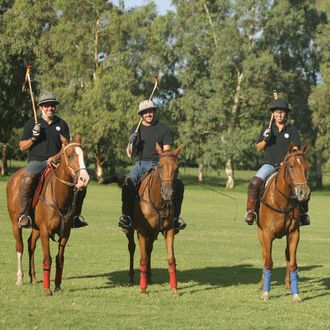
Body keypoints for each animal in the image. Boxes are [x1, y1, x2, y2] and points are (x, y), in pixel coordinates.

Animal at [6, 141, 89, 296]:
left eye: (84, 155)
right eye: (69, 155)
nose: (84, 179)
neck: (58, 196)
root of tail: (14, 176)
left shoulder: (65, 232)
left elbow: (60, 259)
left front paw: (57, 286)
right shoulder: (45, 231)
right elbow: (47, 259)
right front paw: (47, 289)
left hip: (36, 228)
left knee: (30, 244)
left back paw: (33, 277)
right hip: (15, 223)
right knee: (20, 246)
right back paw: (20, 279)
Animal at [125, 143, 183, 292]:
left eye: (177, 168)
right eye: (160, 166)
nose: (168, 193)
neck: (158, 202)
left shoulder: (169, 230)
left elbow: (171, 258)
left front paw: (174, 289)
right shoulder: (142, 231)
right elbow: (143, 259)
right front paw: (143, 290)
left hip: (152, 233)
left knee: (149, 249)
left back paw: (149, 277)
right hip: (131, 230)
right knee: (132, 247)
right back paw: (131, 277)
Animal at [258, 143, 310, 302]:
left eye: (306, 166)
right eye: (291, 166)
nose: (304, 193)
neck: (283, 202)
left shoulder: (294, 233)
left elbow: (293, 263)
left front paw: (296, 294)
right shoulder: (267, 234)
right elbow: (268, 261)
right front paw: (266, 293)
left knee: (287, 256)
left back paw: (288, 285)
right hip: (259, 233)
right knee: (264, 255)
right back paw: (261, 285)